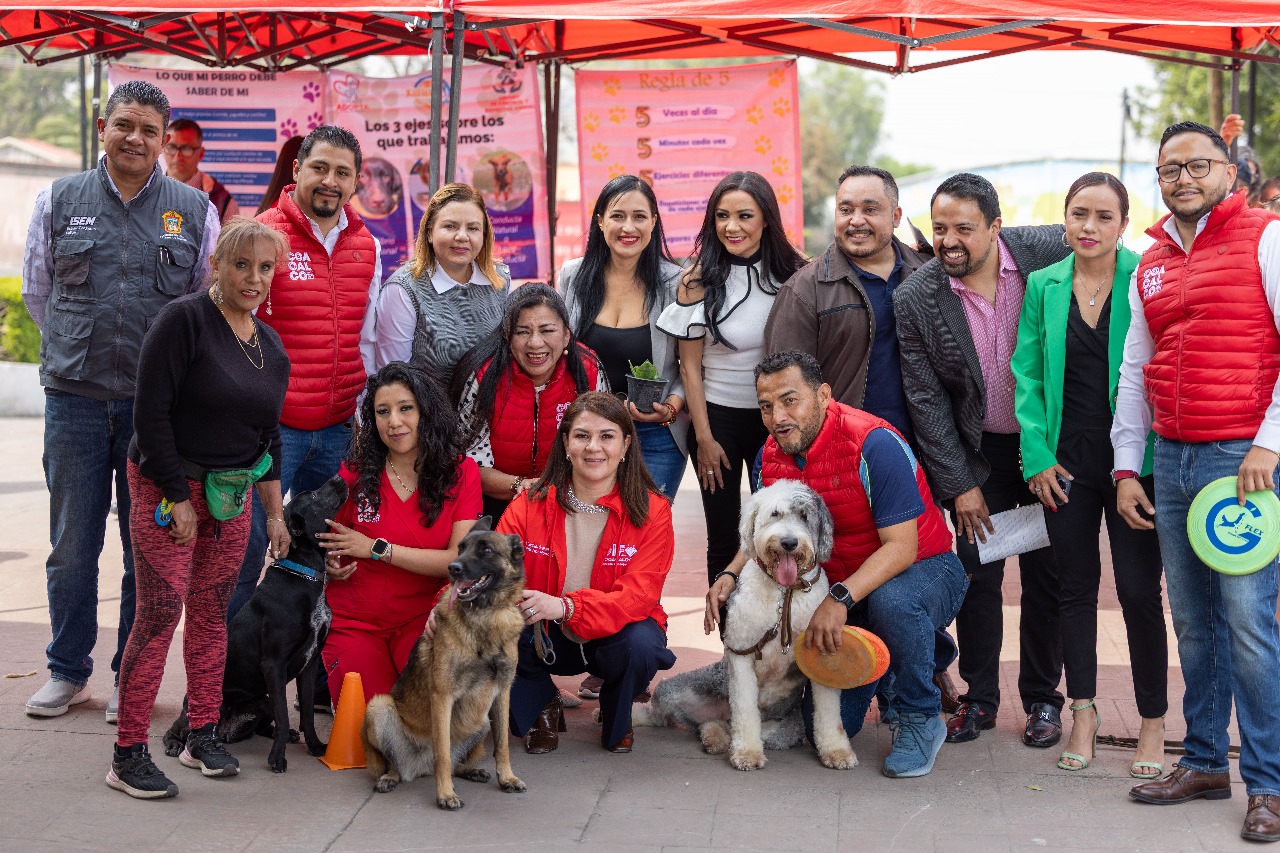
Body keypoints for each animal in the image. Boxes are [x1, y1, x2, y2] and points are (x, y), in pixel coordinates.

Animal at [360, 514, 524, 809]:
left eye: (486, 550)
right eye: (460, 548)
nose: (452, 568)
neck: (485, 616)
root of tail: (420, 767)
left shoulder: (503, 693)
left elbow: (503, 744)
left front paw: (507, 778)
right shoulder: (443, 696)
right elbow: (443, 754)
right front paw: (446, 794)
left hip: (480, 719)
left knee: (457, 761)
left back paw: (471, 770)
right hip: (378, 706)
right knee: (398, 764)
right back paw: (390, 777)